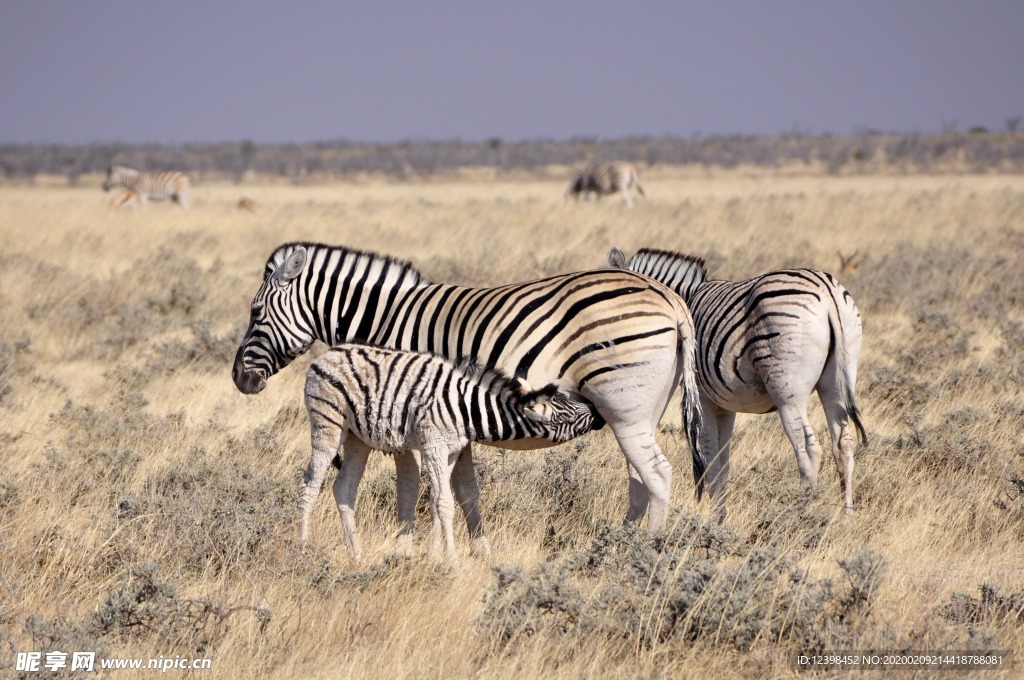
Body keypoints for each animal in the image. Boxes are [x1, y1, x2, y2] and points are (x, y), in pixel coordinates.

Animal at [234, 242, 708, 553]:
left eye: (256, 312)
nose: (239, 379)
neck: (387, 319)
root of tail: (670, 298)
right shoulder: (447, 419)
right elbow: (464, 491)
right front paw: (476, 552)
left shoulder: (405, 414)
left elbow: (411, 488)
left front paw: (408, 551)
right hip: (639, 413)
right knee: (639, 479)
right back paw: (616, 546)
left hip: (624, 405)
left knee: (658, 475)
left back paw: (646, 552)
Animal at [602, 246, 868, 512]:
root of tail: (828, 291)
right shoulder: (725, 405)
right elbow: (723, 464)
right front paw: (720, 515)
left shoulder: (703, 397)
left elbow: (709, 459)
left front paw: (710, 515)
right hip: (836, 380)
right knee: (843, 444)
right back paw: (846, 513)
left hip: (788, 391)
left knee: (808, 450)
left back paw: (802, 508)